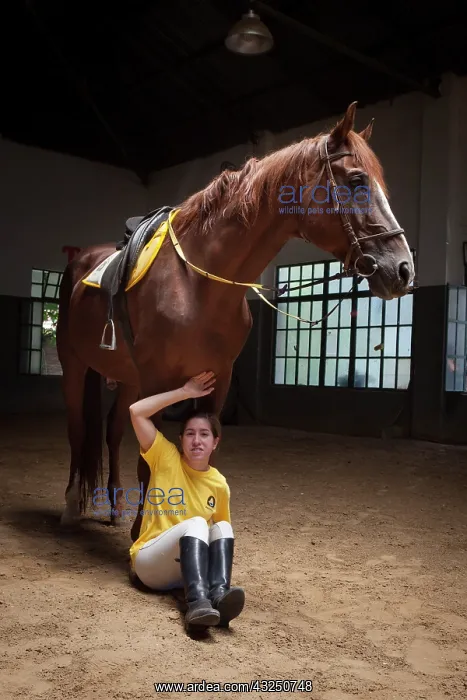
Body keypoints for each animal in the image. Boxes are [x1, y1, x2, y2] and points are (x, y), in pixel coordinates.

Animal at [56, 101, 415, 542]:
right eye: (358, 180)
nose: (402, 269)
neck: (197, 284)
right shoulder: (157, 379)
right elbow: (147, 460)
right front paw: (147, 532)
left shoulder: (217, 379)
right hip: (76, 365)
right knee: (77, 429)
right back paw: (71, 505)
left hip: (128, 379)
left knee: (111, 430)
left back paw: (115, 508)